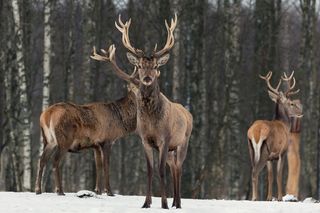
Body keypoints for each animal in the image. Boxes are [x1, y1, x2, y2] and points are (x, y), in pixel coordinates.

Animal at [90, 13, 192, 210]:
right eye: (141, 66)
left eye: (156, 66)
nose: (147, 78)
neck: (152, 121)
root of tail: (188, 113)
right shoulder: (145, 140)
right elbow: (150, 170)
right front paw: (146, 203)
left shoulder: (165, 139)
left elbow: (160, 170)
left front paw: (164, 204)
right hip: (172, 149)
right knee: (173, 167)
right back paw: (175, 201)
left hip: (183, 142)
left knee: (179, 168)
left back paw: (177, 203)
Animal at [248, 71, 302, 201]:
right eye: (291, 103)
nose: (300, 113)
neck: (284, 125)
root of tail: (255, 132)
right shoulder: (282, 152)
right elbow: (279, 175)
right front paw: (280, 198)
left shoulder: (270, 158)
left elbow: (270, 175)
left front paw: (268, 197)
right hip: (264, 150)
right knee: (255, 171)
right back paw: (254, 198)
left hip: (251, 149)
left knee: (252, 170)